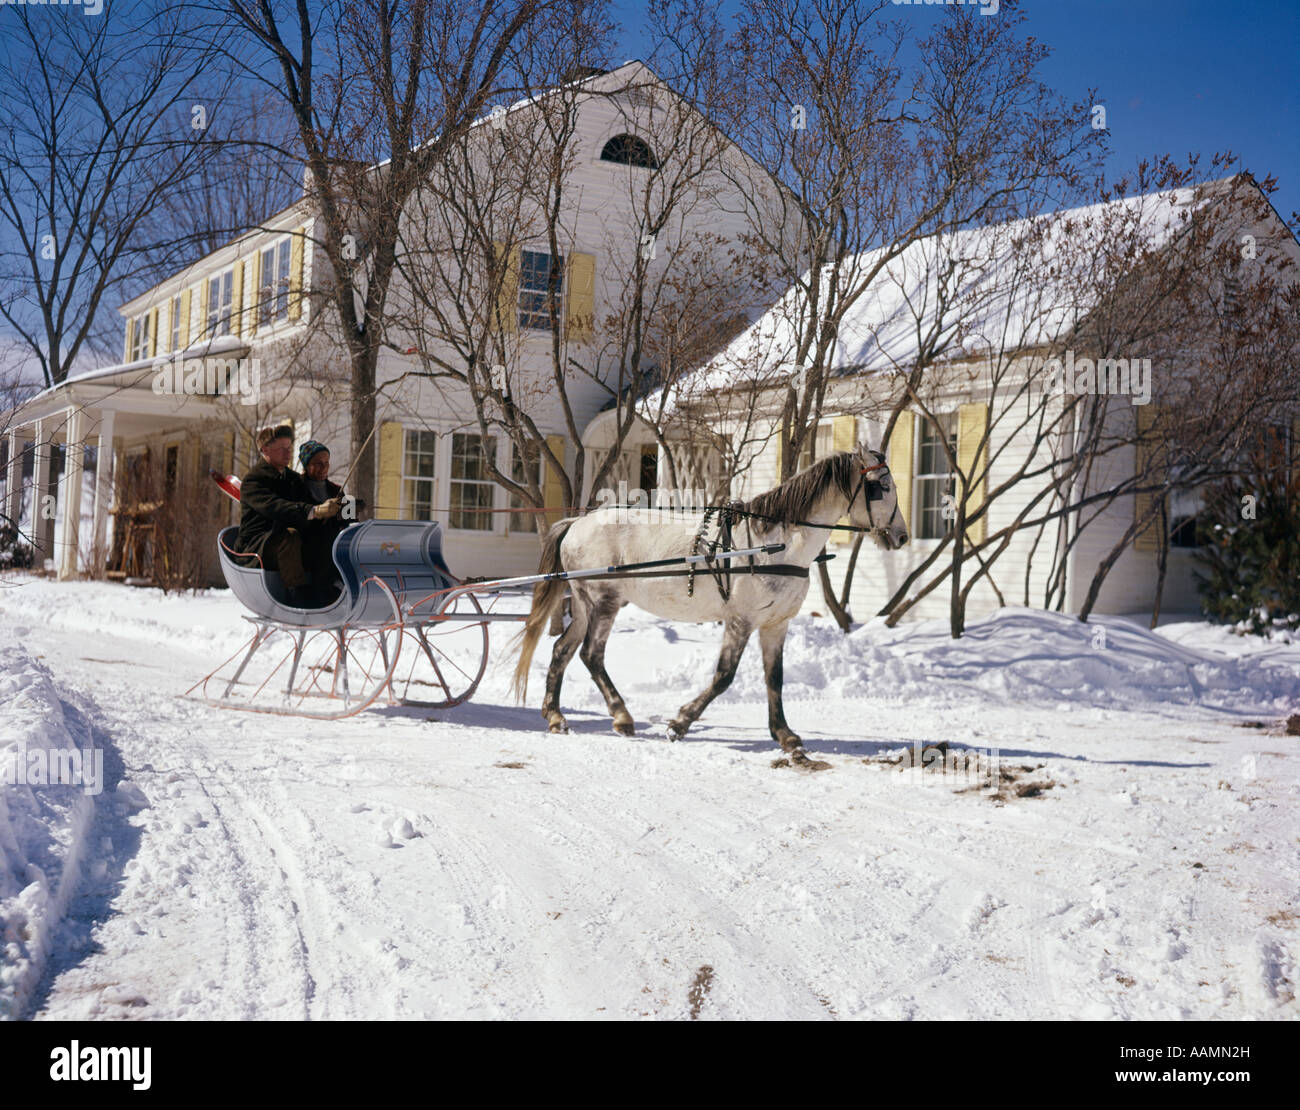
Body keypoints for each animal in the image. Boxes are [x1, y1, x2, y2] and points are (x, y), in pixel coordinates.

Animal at [512, 447, 909, 769]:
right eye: (882, 486)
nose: (902, 535)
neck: (775, 544)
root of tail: (576, 522)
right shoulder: (740, 620)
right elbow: (724, 676)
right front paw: (680, 723)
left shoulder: (776, 624)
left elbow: (775, 678)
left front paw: (785, 735)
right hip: (605, 601)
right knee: (591, 655)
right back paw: (622, 717)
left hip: (584, 603)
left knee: (562, 650)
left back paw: (555, 716)